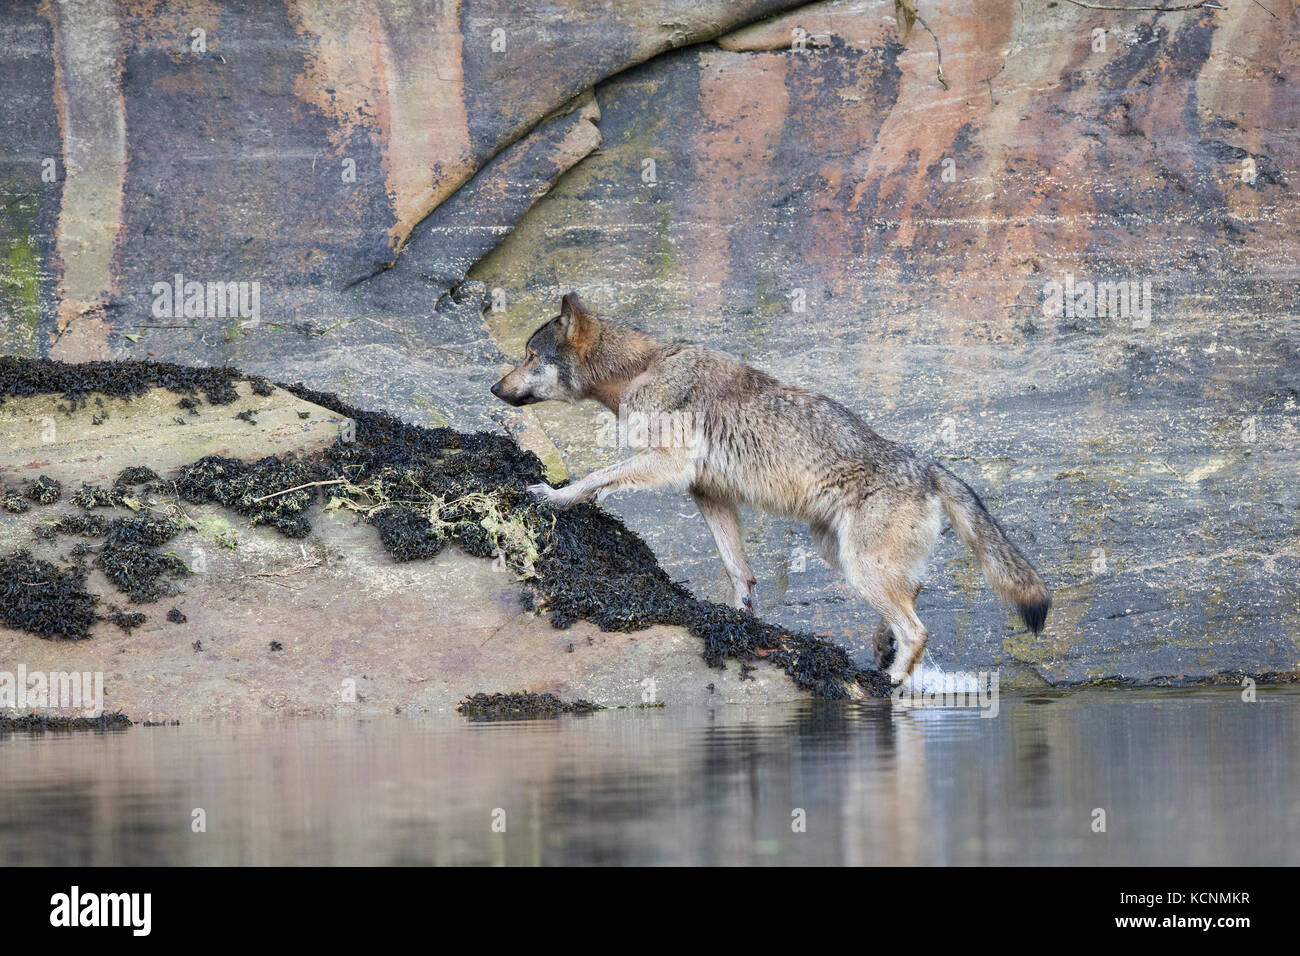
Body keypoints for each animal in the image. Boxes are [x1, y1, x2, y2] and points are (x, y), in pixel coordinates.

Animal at [491, 291, 1050, 681]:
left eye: (528, 355)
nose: (494, 388)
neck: (639, 370)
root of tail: (929, 465)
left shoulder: (669, 462)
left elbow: (595, 477)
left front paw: (555, 495)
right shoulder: (708, 493)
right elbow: (739, 570)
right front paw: (740, 621)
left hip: (858, 567)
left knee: (918, 630)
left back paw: (890, 681)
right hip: (840, 555)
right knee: (912, 600)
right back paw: (881, 654)